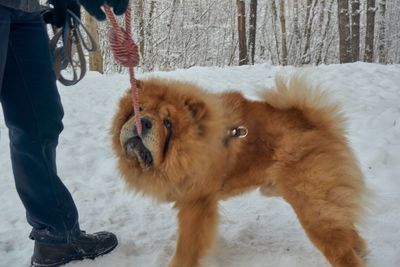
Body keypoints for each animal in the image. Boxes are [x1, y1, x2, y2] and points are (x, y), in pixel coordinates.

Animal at [111, 75, 368, 267]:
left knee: (340, 249)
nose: (143, 122)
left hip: (312, 204)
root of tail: (316, 122)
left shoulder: (196, 204)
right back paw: (362, 249)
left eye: (168, 123)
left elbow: (187, 245)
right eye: (138, 108)